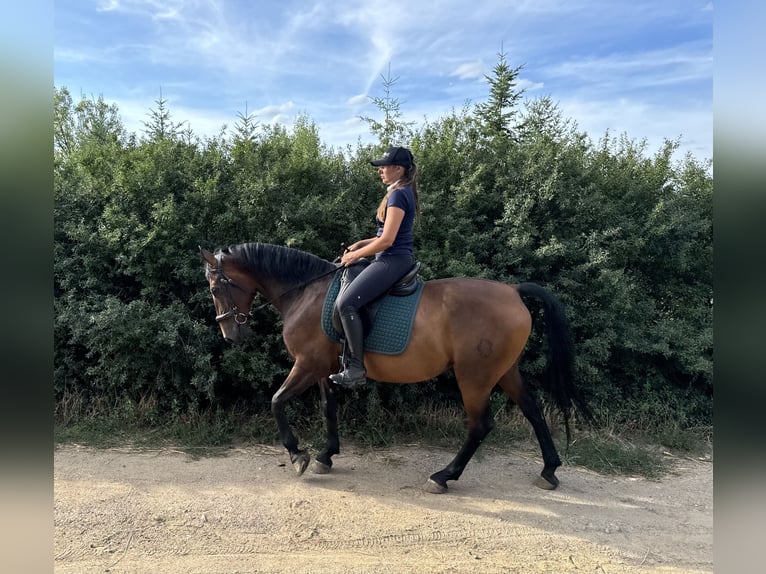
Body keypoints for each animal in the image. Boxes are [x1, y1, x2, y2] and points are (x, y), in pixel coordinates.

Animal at [200, 243, 592, 496]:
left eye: (216, 287)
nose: (230, 333)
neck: (306, 293)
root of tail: (512, 291)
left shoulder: (306, 364)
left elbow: (277, 401)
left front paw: (298, 456)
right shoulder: (323, 367)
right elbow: (328, 408)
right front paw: (326, 455)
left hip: (474, 377)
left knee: (480, 425)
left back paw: (443, 476)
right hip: (504, 371)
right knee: (532, 409)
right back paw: (549, 470)